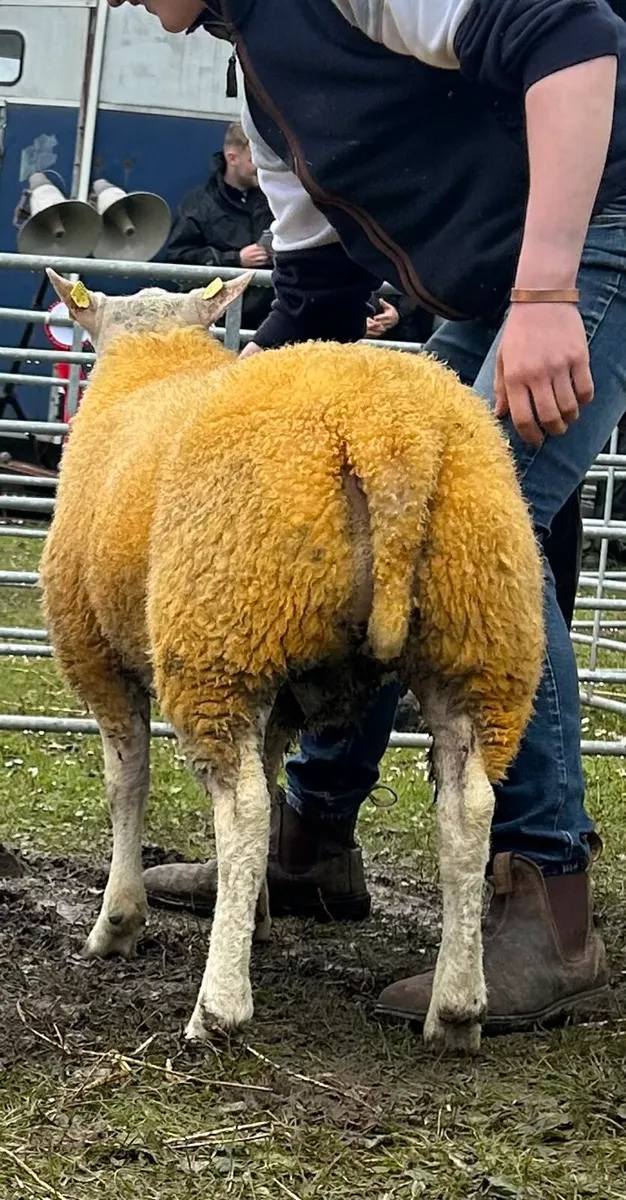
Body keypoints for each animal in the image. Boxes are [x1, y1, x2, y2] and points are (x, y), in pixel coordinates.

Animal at [41, 267, 544, 1054]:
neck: (154, 362)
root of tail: (391, 436)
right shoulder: (283, 687)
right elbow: (275, 772)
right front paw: (254, 913)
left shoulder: (94, 652)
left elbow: (129, 784)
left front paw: (118, 922)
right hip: (478, 637)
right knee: (468, 812)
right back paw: (456, 1010)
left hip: (218, 632)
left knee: (242, 808)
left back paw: (217, 1007)